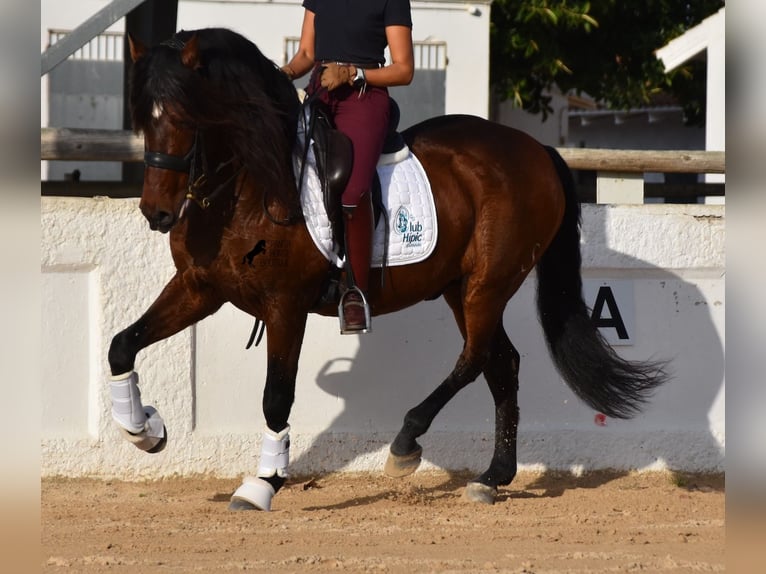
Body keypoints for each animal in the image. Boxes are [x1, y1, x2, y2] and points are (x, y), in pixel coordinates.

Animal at [111, 29, 668, 510]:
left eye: (186, 114)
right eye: (142, 117)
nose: (156, 213)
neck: (249, 184)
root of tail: (536, 149)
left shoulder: (285, 305)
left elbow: (276, 397)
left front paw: (263, 484)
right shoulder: (200, 287)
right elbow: (123, 344)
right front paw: (144, 430)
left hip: (488, 282)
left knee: (476, 357)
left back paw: (406, 443)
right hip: (458, 286)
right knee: (502, 363)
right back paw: (491, 478)